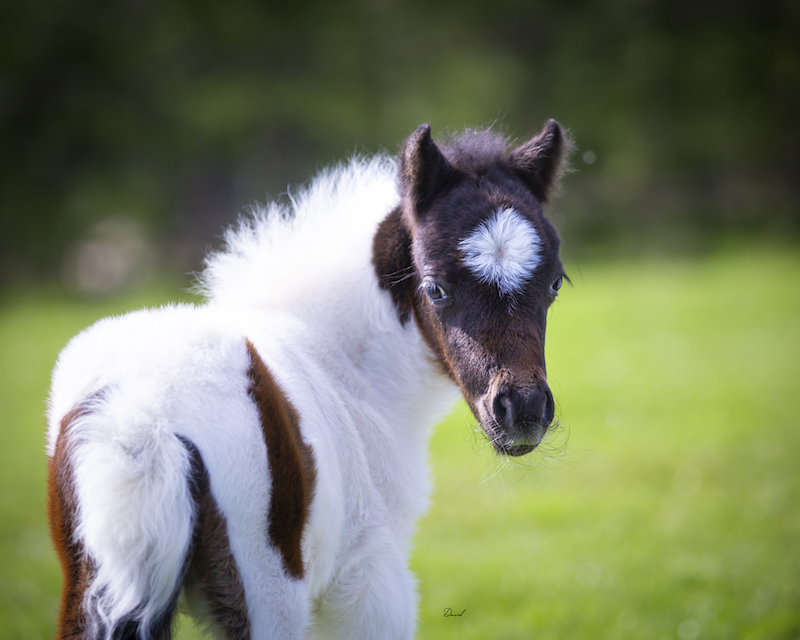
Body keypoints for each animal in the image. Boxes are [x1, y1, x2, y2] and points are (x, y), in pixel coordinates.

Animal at [46, 119, 571, 640]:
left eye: (554, 283)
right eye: (436, 288)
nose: (522, 410)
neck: (341, 366)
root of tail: (141, 422)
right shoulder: (367, 577)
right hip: (270, 593)